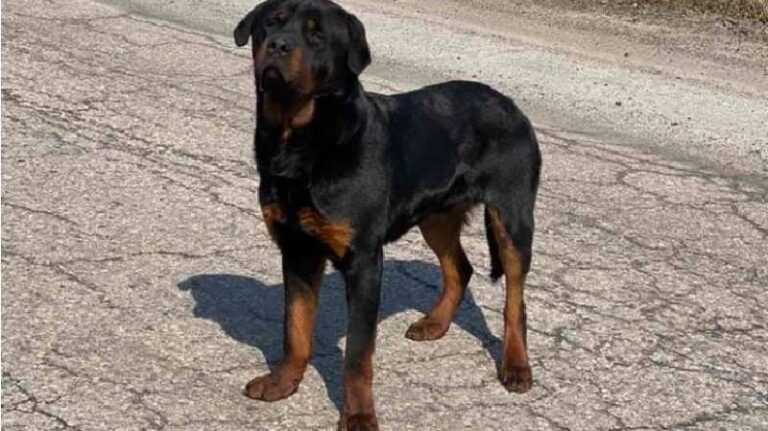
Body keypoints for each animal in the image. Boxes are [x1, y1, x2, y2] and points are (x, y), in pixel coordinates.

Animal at [232, 1, 540, 430]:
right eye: (269, 24)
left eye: (316, 34)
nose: (277, 45)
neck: (300, 139)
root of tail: (511, 105)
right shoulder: (297, 250)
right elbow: (295, 328)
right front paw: (283, 383)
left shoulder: (362, 261)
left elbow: (357, 355)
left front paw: (359, 415)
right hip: (436, 216)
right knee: (459, 268)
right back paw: (434, 323)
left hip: (511, 216)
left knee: (515, 296)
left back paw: (515, 365)